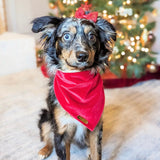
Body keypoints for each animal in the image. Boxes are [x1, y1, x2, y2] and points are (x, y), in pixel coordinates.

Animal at [31, 15, 116, 160]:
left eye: (92, 36)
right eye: (66, 36)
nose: (82, 56)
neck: (78, 81)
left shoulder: (96, 128)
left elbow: (96, 153)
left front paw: (92, 153)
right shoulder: (61, 131)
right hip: (45, 118)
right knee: (48, 138)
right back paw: (44, 150)